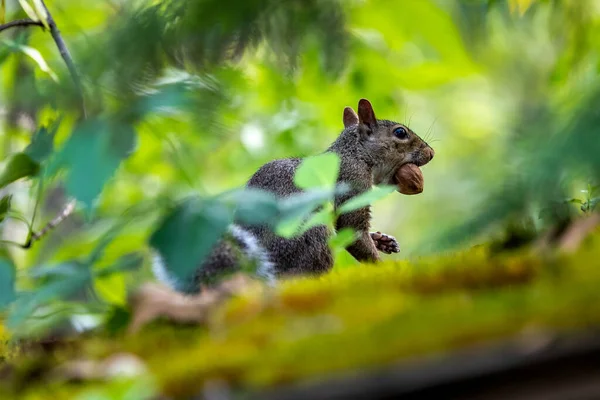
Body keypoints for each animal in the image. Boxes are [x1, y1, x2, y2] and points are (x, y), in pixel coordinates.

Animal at [154, 99, 436, 294]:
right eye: (400, 133)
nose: (431, 153)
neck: (354, 154)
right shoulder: (352, 181)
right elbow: (353, 230)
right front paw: (385, 269)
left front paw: (382, 241)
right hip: (312, 235)